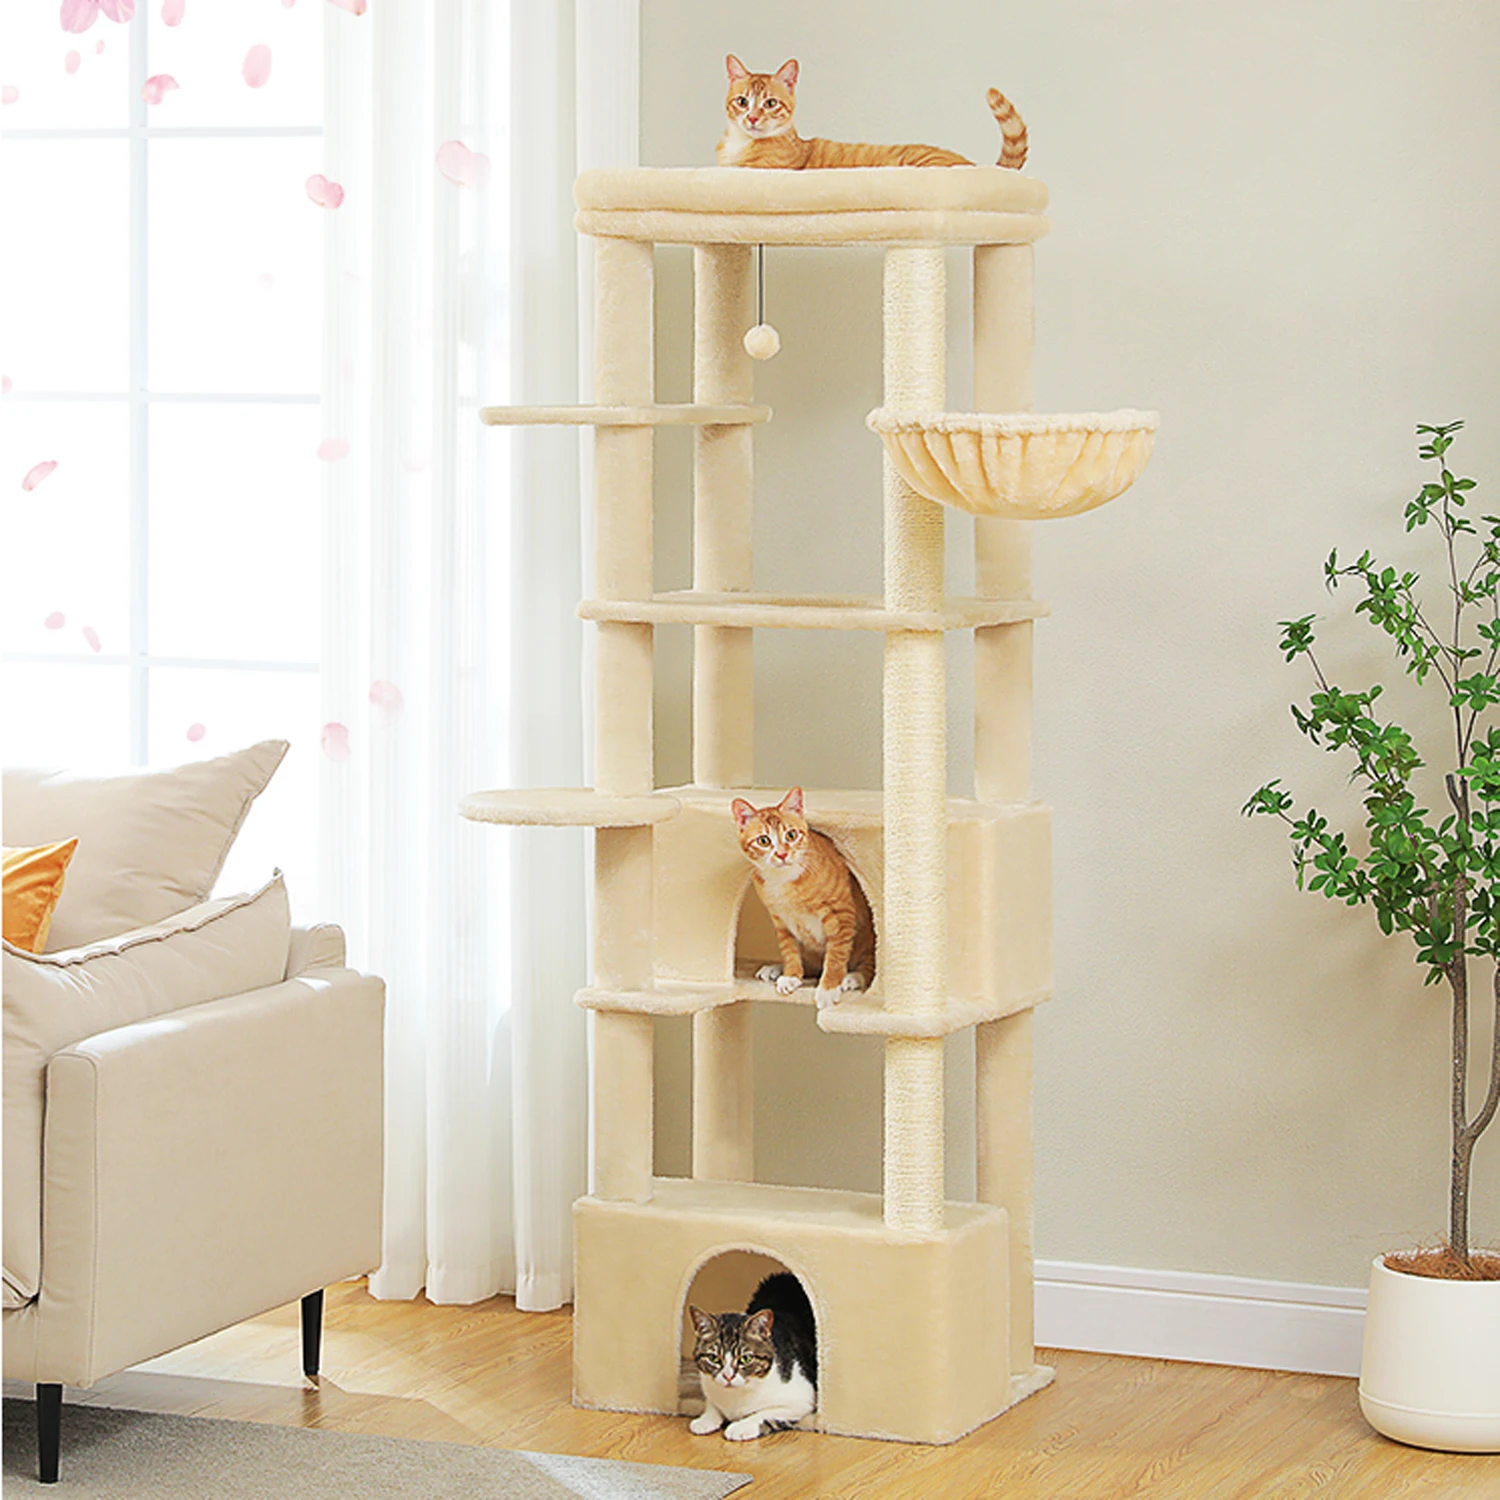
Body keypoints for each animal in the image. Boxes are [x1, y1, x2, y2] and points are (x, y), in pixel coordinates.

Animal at [688, 1273, 818, 1441]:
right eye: (714, 1358)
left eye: (745, 1359)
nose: (728, 1376)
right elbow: (712, 1404)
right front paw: (705, 1420)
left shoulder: (802, 1399)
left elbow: (763, 1413)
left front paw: (740, 1427)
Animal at [732, 787, 876, 1008]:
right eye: (764, 840)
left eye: (791, 835)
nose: (782, 854)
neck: (784, 880)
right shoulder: (780, 920)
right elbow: (790, 951)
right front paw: (791, 975)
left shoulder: (842, 914)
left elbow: (836, 956)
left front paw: (828, 988)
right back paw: (776, 969)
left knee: (868, 967)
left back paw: (852, 978)